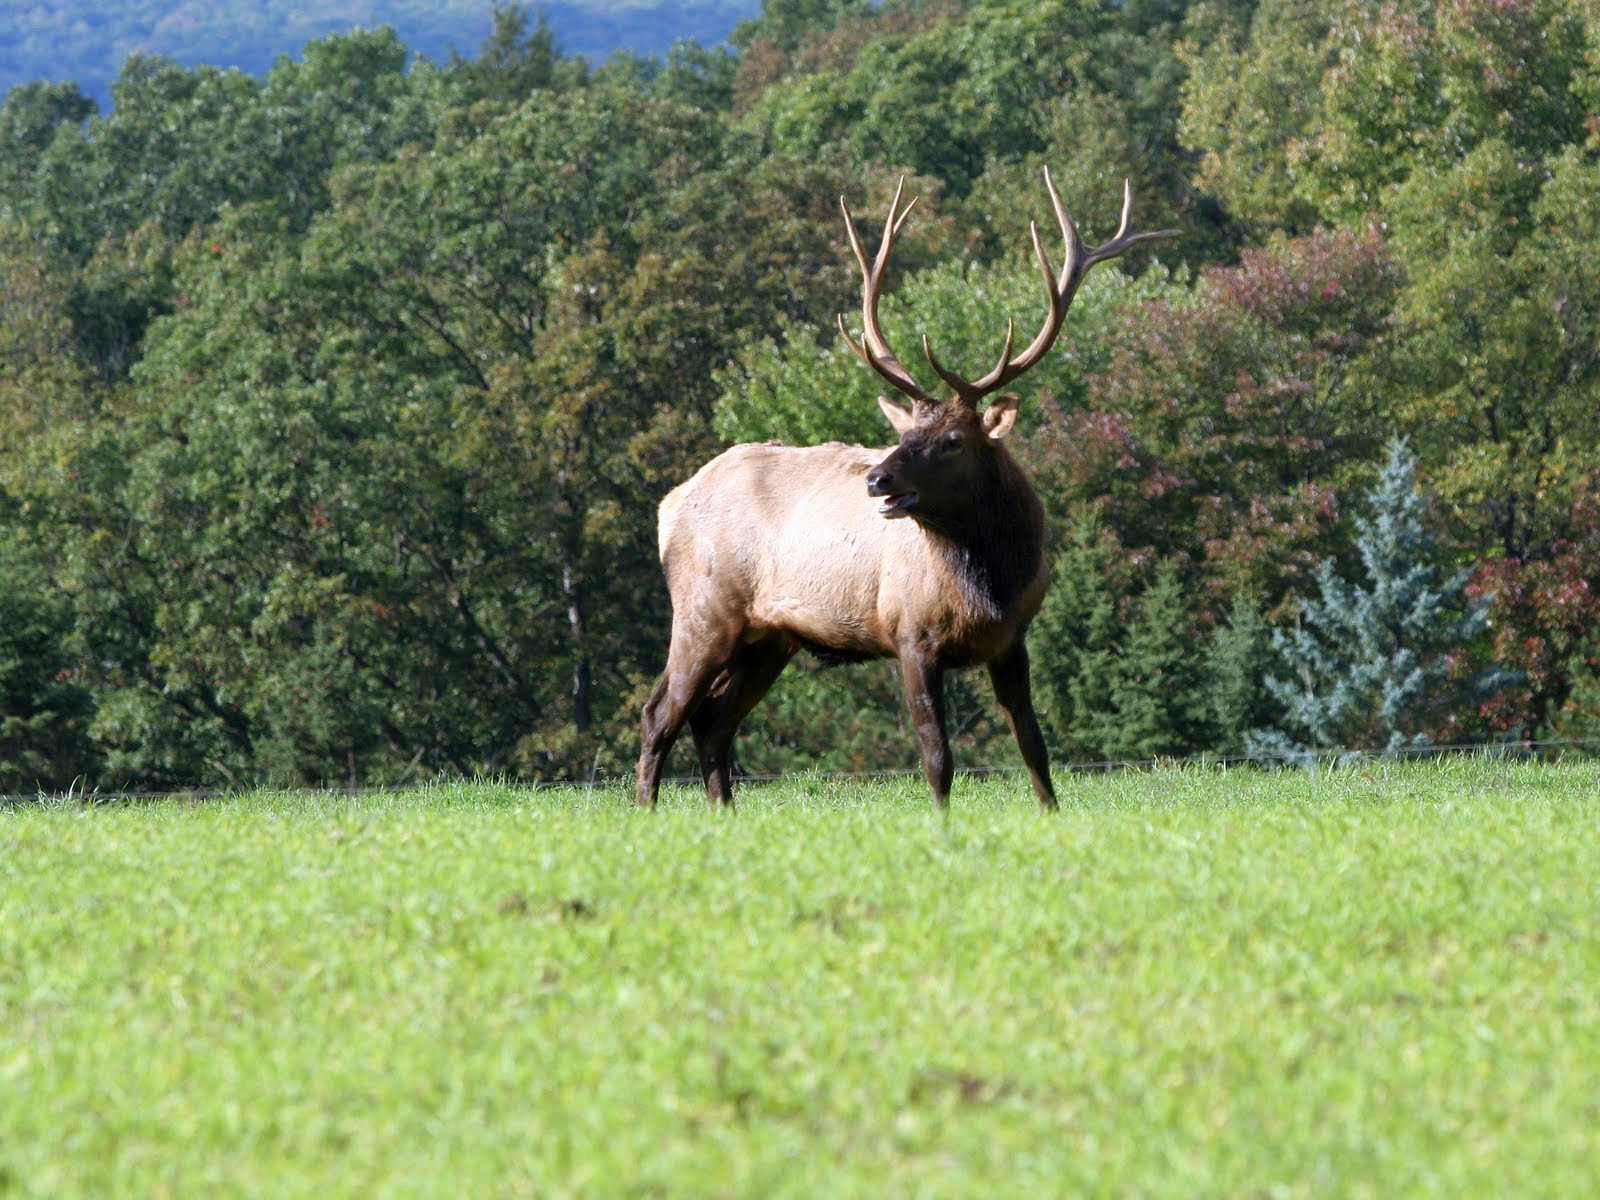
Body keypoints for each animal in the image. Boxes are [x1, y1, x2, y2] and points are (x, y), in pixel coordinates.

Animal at [636, 169, 1177, 810]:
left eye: (952, 440)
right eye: (904, 433)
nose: (877, 479)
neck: (990, 581)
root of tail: (669, 506)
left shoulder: (1012, 638)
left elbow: (1033, 745)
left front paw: (1051, 815)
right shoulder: (910, 635)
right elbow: (936, 756)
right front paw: (941, 822)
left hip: (770, 637)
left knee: (713, 721)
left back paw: (724, 814)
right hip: (705, 610)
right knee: (660, 714)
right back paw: (645, 813)